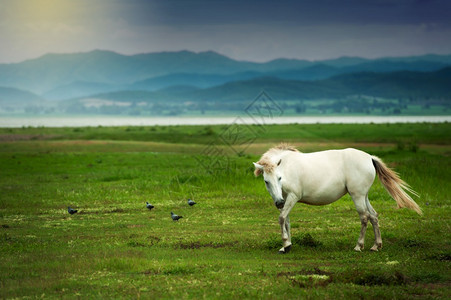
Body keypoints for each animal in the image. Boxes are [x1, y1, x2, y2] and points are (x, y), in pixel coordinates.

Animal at [254, 144, 424, 252]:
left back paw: (359, 246)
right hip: (364, 196)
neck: (287, 167)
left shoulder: (292, 197)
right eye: (266, 181)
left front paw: (285, 243)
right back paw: (376, 246)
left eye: (279, 178)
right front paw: (286, 246)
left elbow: (282, 218)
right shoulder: (285, 198)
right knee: (374, 216)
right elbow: (287, 220)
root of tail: (369, 157)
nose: (278, 202)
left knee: (364, 217)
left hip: (357, 196)